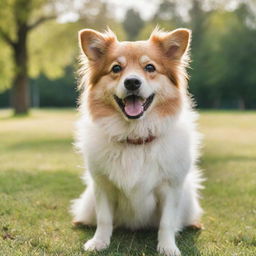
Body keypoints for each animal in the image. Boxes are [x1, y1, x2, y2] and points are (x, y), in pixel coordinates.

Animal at [71, 27, 203, 256]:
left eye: (150, 67)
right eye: (116, 68)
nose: (132, 82)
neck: (135, 136)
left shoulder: (171, 188)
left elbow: (167, 222)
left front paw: (167, 247)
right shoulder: (102, 186)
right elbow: (104, 219)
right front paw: (99, 242)